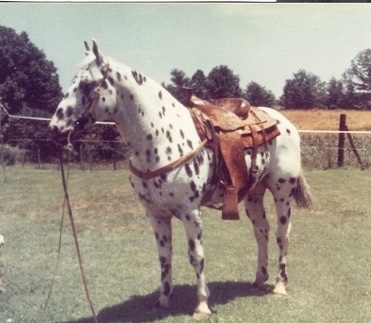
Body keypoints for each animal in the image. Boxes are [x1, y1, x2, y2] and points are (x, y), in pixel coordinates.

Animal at [48, 40, 310, 318]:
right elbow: (165, 256)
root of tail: (284, 123)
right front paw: (163, 300)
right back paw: (259, 279)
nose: (55, 128)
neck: (161, 137)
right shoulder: (155, 214)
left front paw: (202, 304)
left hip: (282, 192)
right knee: (262, 231)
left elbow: (196, 256)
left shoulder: (190, 212)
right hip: (254, 194)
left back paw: (279, 285)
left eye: (87, 84)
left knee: (283, 234)